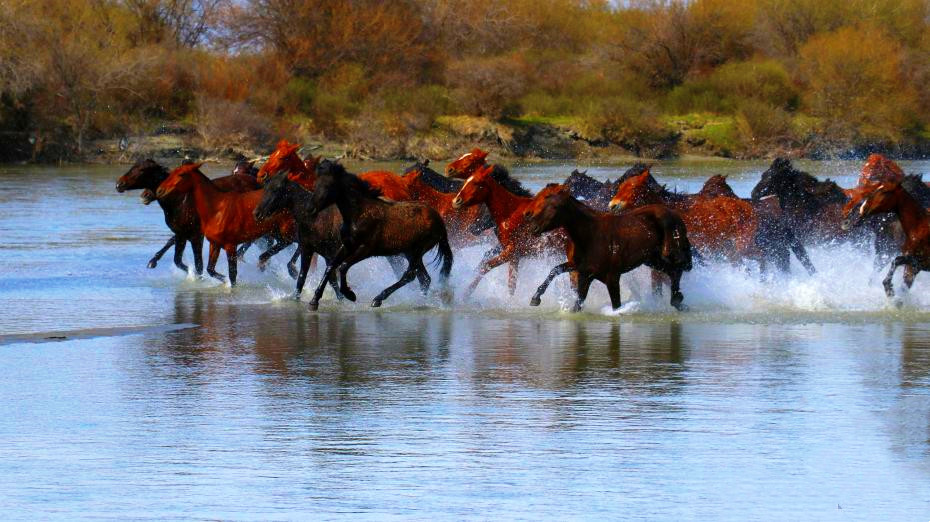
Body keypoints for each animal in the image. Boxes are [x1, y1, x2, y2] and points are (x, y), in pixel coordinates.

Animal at [118, 157, 260, 272]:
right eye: (133, 166)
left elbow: (198, 265)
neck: (179, 201)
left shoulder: (196, 235)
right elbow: (177, 259)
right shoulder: (181, 233)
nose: (119, 184)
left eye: (142, 170)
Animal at [154, 161, 294, 284]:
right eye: (172, 172)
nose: (160, 190)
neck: (217, 209)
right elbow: (210, 270)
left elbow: (232, 275)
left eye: (181, 174)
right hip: (274, 232)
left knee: (287, 244)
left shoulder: (230, 246)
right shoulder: (214, 244)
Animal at [450, 165, 564, 294]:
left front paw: (467, 291)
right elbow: (510, 282)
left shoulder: (512, 251)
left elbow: (487, 265)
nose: (473, 228)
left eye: (476, 184)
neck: (512, 214)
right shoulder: (513, 253)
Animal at [520, 185, 688, 310]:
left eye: (555, 206)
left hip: (668, 254)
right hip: (652, 260)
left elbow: (616, 306)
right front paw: (535, 298)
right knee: (673, 272)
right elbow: (556, 272)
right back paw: (677, 300)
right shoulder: (583, 273)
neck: (590, 235)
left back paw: (677, 299)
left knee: (677, 270)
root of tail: (675, 214)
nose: (533, 228)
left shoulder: (612, 278)